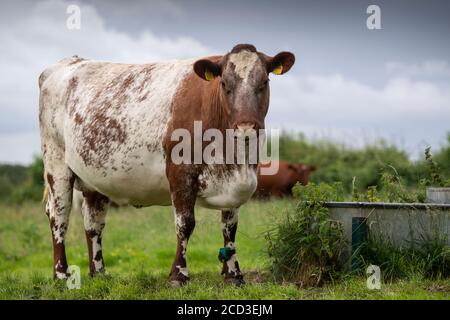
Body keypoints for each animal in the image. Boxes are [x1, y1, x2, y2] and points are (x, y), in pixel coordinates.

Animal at [39, 43, 296, 286]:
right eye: (224, 84)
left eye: (264, 82)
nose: (245, 127)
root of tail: (71, 61)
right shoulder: (180, 174)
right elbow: (185, 224)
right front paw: (178, 275)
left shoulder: (235, 184)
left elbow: (229, 228)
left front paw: (234, 274)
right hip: (56, 163)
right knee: (59, 216)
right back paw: (61, 274)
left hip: (95, 179)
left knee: (93, 223)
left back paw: (99, 273)